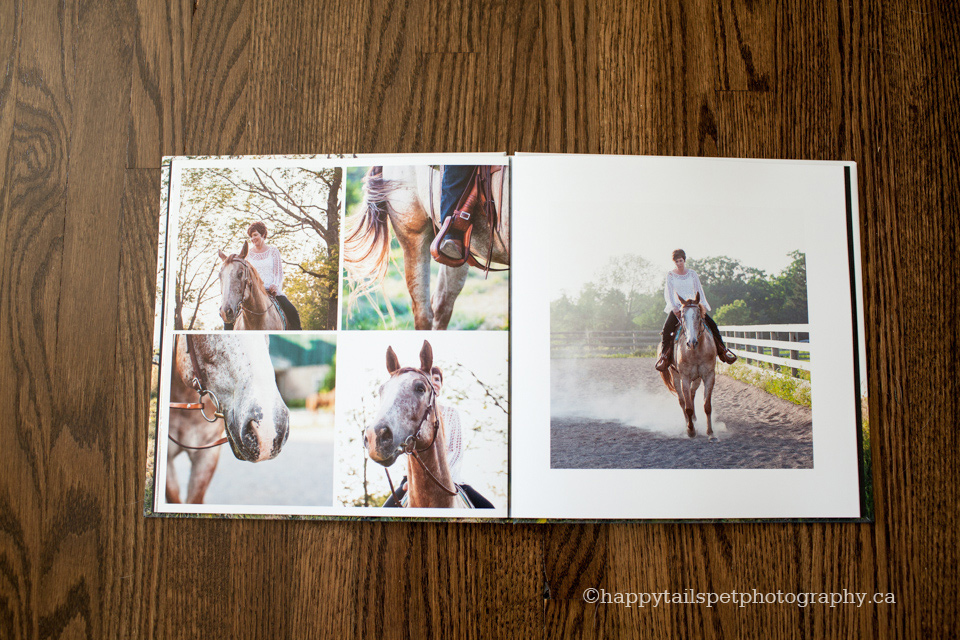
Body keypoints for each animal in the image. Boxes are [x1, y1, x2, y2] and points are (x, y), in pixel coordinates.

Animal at [656, 292, 716, 438]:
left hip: (697, 378)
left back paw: (694, 418)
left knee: (692, 394)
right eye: (682, 316)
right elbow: (687, 406)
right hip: (676, 376)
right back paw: (688, 422)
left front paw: (710, 432)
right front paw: (690, 430)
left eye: (699, 315)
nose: (691, 342)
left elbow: (707, 406)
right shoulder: (685, 377)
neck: (696, 351)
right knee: (682, 400)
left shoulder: (709, 375)